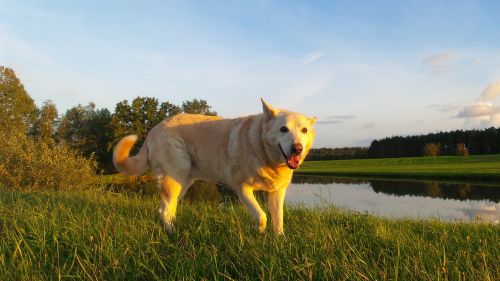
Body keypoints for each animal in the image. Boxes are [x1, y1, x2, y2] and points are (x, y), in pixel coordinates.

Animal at [114, 99, 316, 234]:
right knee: (164, 211)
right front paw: (259, 235)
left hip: (182, 183)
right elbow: (262, 216)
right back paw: (174, 235)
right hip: (173, 180)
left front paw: (278, 240)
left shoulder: (276, 192)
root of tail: (153, 130)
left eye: (304, 130)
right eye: (283, 129)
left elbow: (278, 219)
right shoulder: (242, 189)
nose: (297, 149)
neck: (262, 149)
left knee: (167, 210)